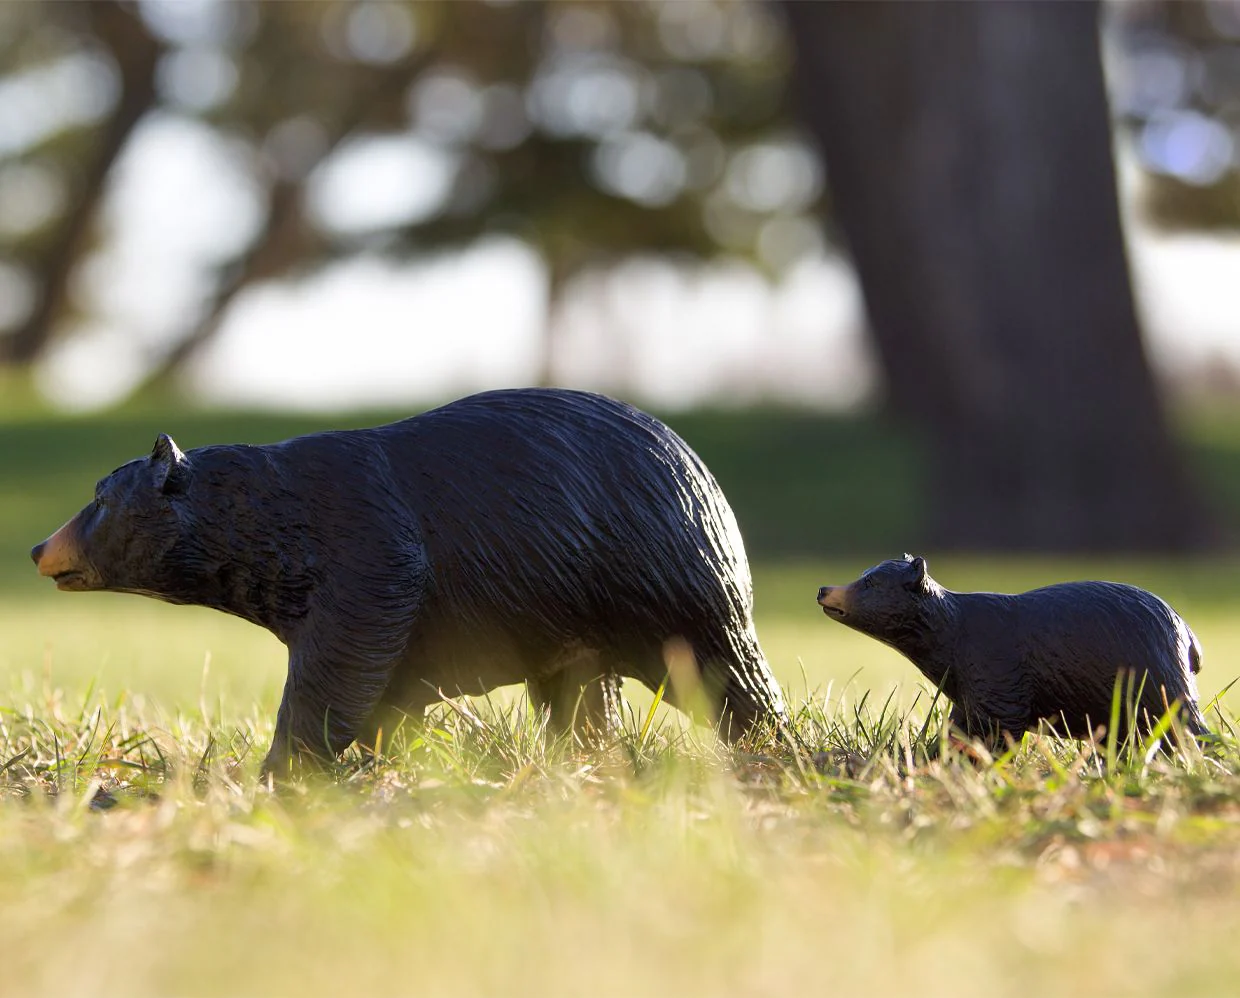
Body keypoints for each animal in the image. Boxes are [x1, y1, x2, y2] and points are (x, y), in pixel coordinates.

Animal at [31, 388, 787, 776]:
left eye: (100, 499)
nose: (41, 546)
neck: (273, 522)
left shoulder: (368, 543)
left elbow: (348, 653)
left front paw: (283, 766)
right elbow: (391, 682)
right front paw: (381, 754)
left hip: (666, 573)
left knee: (724, 666)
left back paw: (766, 746)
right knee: (580, 689)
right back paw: (584, 753)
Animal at [816, 555, 1208, 747]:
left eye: (870, 582)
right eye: (863, 574)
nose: (823, 589)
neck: (952, 633)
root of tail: (1188, 633)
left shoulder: (994, 665)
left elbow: (997, 725)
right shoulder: (970, 685)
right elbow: (963, 724)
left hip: (1152, 670)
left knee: (1180, 723)